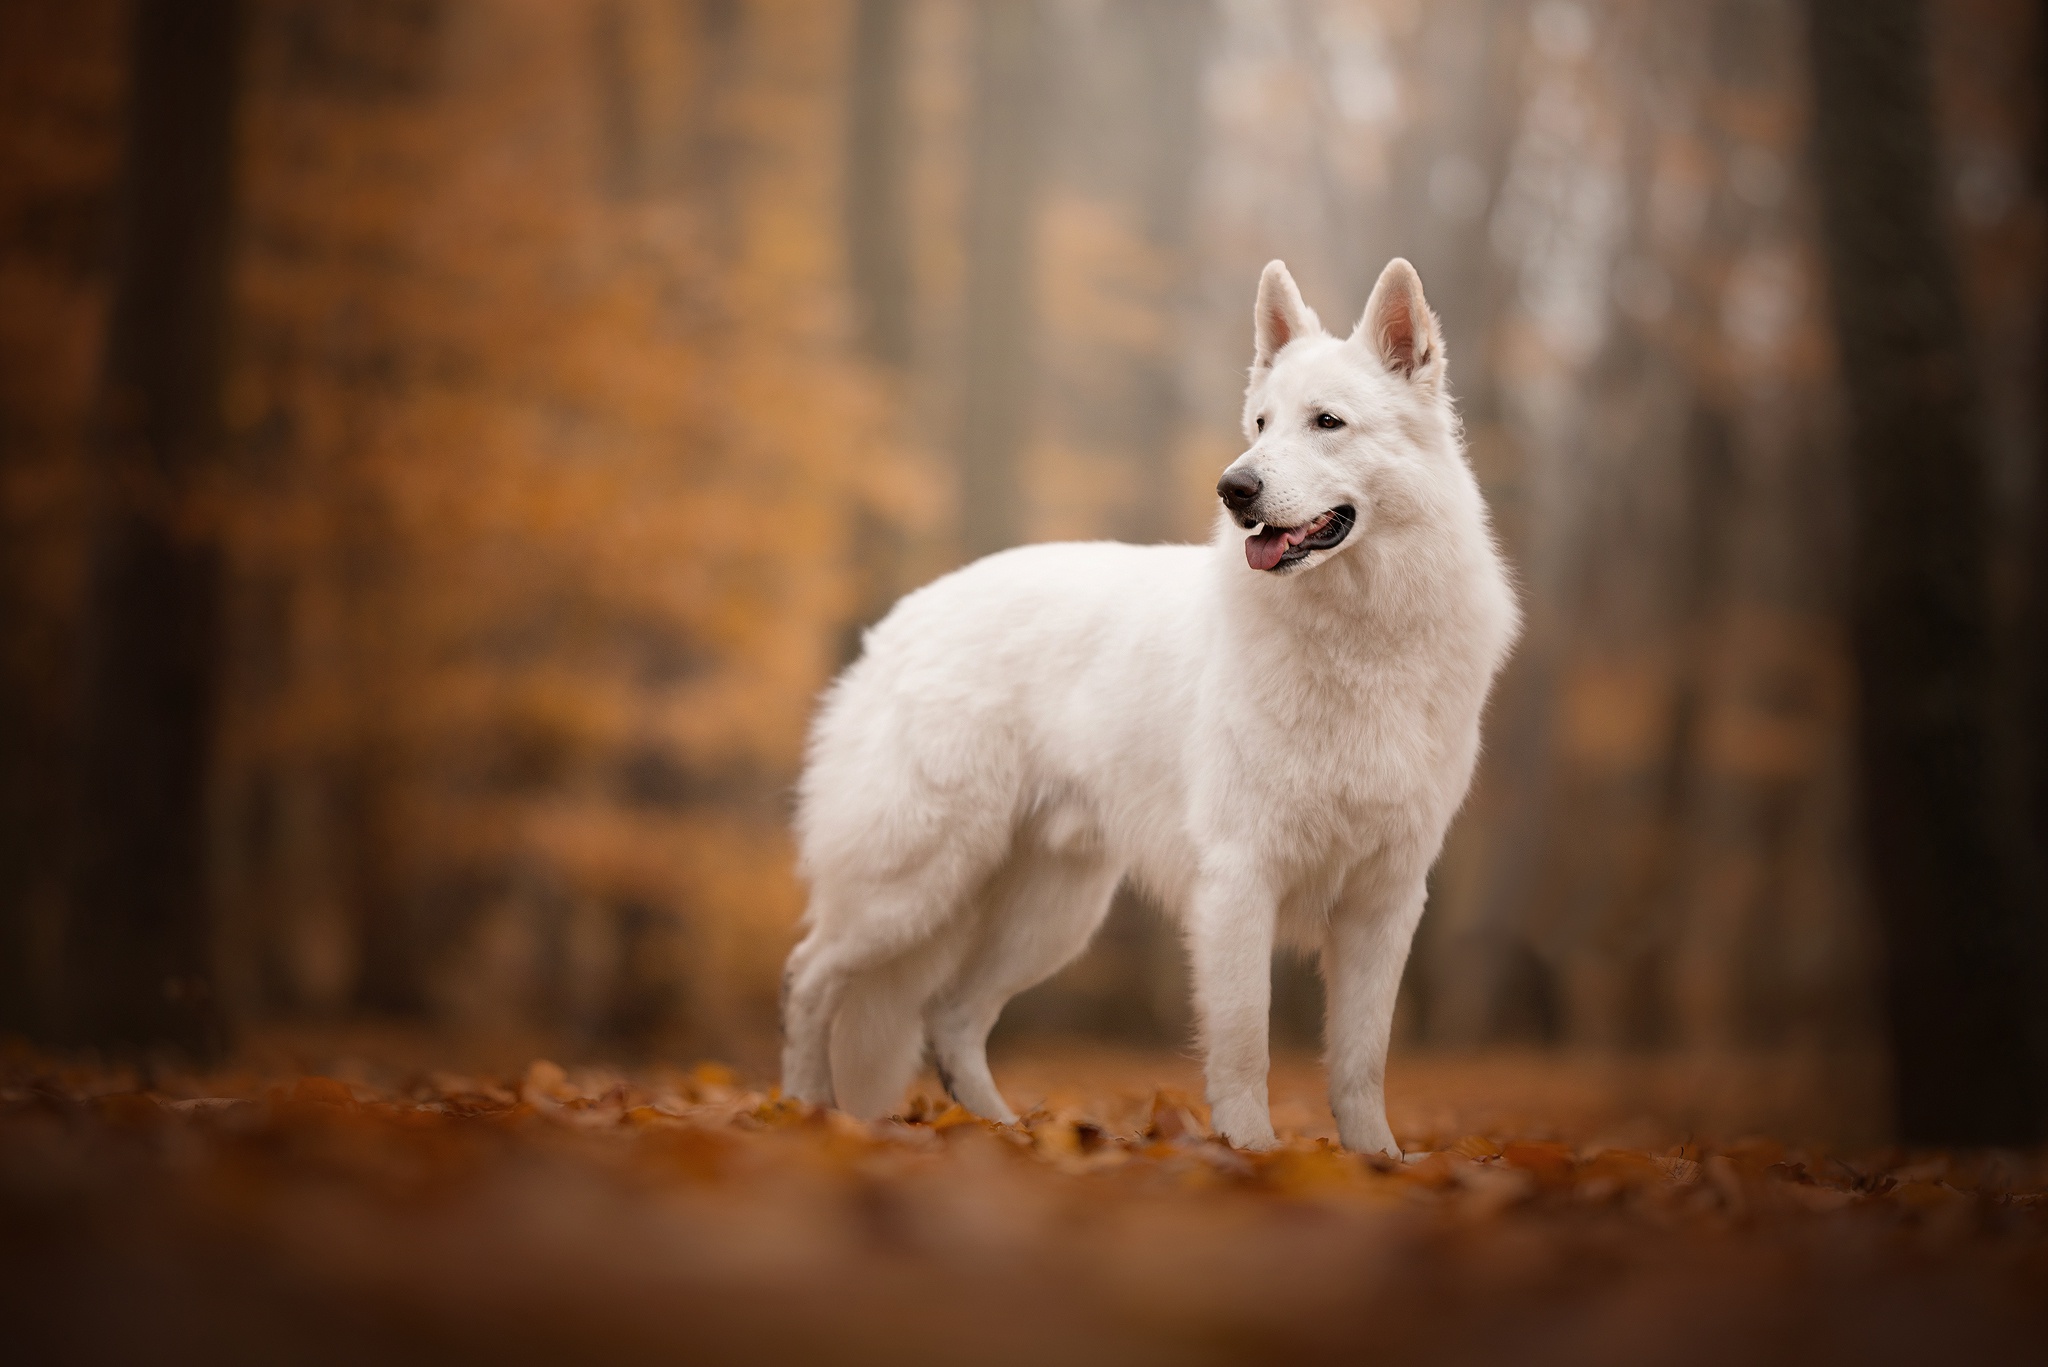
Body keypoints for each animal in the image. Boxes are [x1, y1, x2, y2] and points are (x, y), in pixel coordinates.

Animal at [782, 256, 1523, 1155]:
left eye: (1328, 422)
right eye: (1259, 422)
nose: (1235, 486)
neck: (1358, 637)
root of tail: (901, 618)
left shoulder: (1385, 899)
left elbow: (1361, 1058)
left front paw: (1375, 1160)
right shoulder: (1239, 880)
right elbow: (1244, 1045)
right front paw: (1253, 1155)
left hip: (1049, 913)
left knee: (949, 1014)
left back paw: (1002, 1132)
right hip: (913, 881)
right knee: (812, 975)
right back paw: (803, 1109)